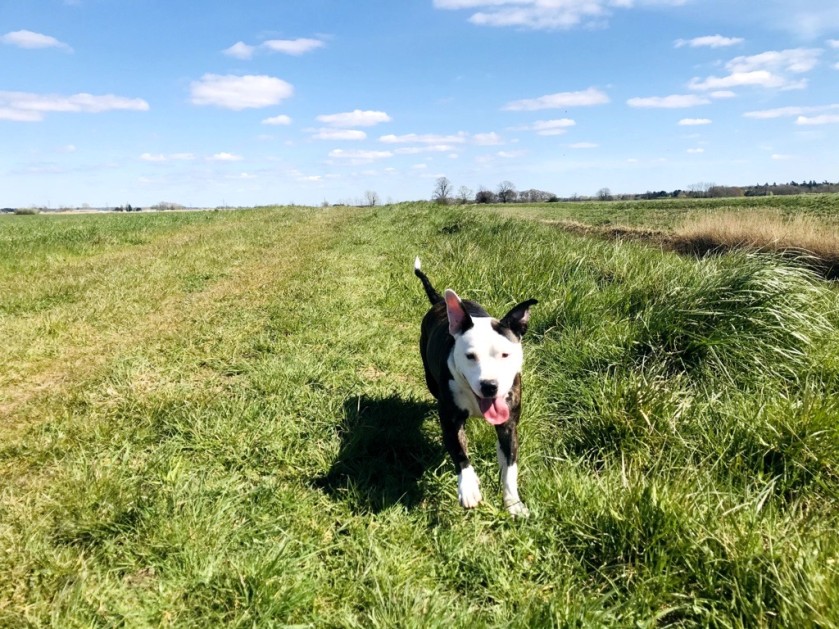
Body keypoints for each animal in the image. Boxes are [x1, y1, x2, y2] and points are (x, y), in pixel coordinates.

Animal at [414, 256, 540, 516]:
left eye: (505, 354)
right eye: (470, 356)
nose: (489, 385)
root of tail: (440, 302)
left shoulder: (508, 425)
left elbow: (510, 467)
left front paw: (514, 503)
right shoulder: (450, 420)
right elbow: (460, 452)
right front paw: (469, 487)